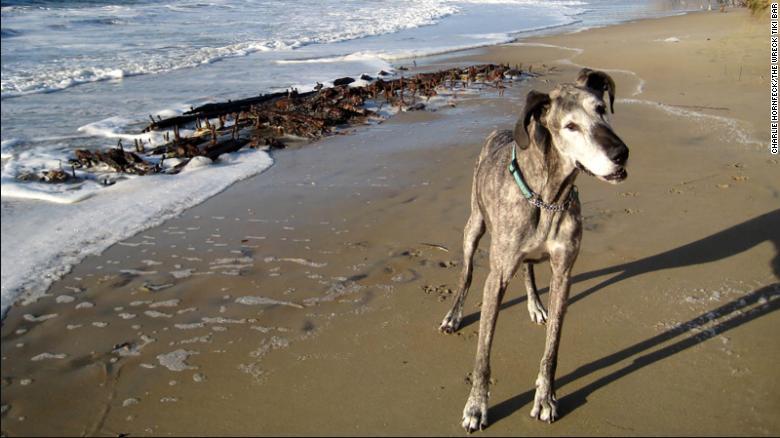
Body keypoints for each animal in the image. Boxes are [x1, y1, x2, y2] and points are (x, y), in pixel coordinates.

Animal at [438, 67, 628, 432]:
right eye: (570, 126)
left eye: (601, 109)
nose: (620, 153)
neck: (548, 197)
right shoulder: (496, 277)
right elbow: (483, 354)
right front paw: (476, 406)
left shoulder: (563, 273)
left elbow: (552, 349)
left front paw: (545, 398)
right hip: (474, 227)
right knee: (466, 275)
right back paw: (454, 315)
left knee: (527, 268)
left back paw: (535, 305)